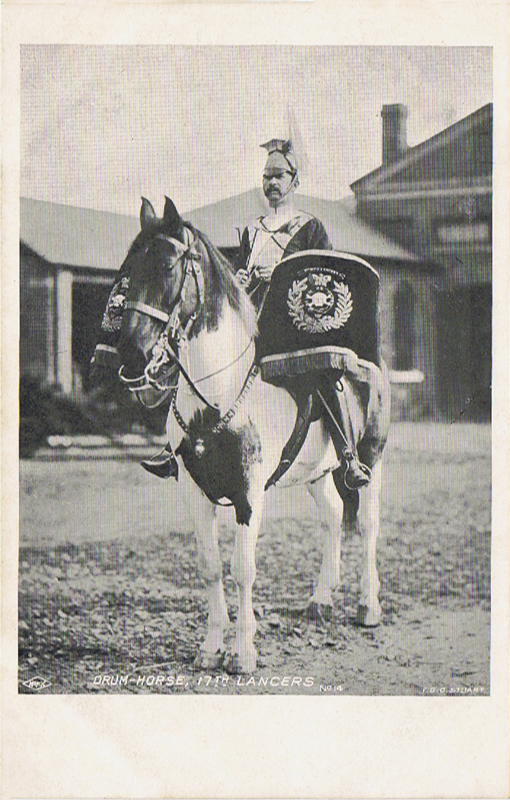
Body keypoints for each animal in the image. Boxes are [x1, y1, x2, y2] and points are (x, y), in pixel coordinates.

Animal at [116, 196, 391, 674]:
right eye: (130, 266)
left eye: (167, 266)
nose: (132, 352)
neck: (217, 393)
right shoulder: (193, 490)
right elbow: (209, 565)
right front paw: (210, 647)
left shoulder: (248, 493)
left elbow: (243, 568)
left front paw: (242, 652)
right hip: (315, 472)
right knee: (334, 514)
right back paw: (321, 599)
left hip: (372, 457)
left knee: (367, 523)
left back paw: (367, 606)